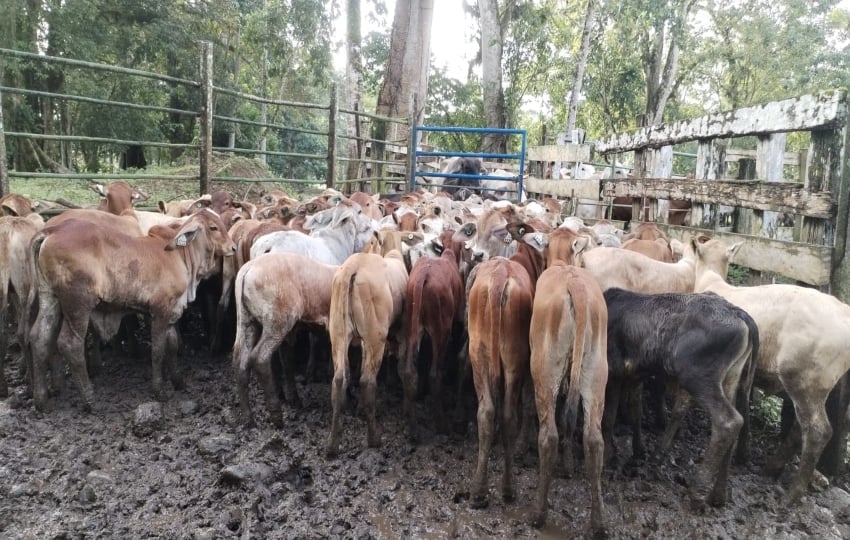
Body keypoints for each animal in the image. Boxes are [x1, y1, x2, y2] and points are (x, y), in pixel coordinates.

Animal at [29, 209, 235, 412]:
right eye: (213, 227)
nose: (232, 247)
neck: (180, 255)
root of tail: (52, 231)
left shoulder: (172, 312)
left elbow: (173, 345)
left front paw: (178, 381)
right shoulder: (159, 311)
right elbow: (158, 350)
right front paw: (159, 390)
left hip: (50, 297)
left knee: (40, 337)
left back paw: (42, 400)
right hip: (78, 304)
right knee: (70, 344)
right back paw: (90, 400)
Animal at [324, 249, 408, 456]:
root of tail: (352, 268)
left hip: (338, 331)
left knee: (339, 379)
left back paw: (332, 444)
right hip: (375, 335)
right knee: (367, 381)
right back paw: (374, 439)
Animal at [692, 236, 848, 502]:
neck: (711, 278)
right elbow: (743, 406)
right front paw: (743, 452)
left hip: (804, 376)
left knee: (818, 431)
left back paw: (792, 494)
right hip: (815, 382)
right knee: (802, 427)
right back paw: (773, 468)